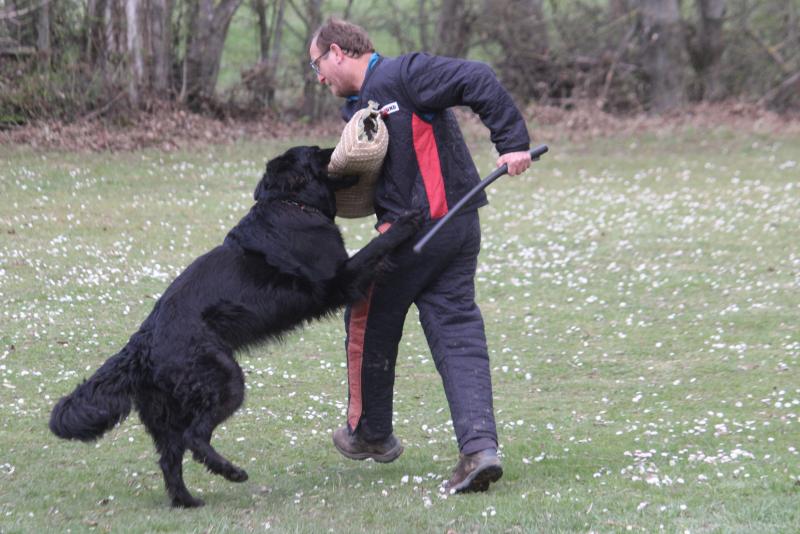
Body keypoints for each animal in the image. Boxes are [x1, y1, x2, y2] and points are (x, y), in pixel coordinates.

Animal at [49, 145, 421, 508]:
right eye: (319, 152)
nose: (341, 144)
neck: (292, 204)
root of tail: (142, 343)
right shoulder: (340, 280)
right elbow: (376, 247)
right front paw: (408, 221)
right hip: (226, 381)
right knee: (195, 437)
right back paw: (229, 472)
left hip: (167, 414)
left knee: (171, 458)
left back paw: (188, 501)